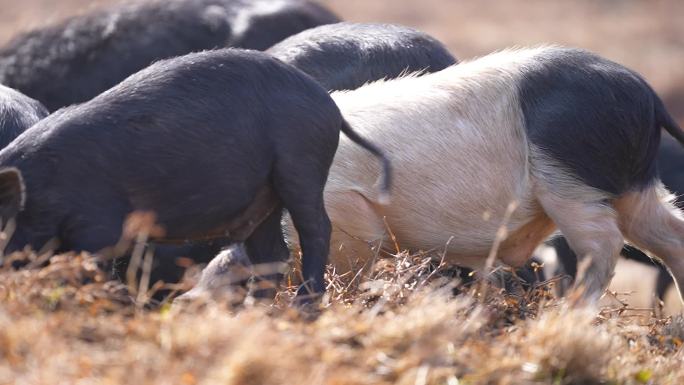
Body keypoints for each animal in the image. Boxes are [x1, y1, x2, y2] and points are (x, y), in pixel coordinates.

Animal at [0, 48, 390, 296]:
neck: (39, 191)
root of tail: (329, 104)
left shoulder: (98, 227)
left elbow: (92, 267)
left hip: (300, 164)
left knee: (316, 229)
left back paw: (304, 306)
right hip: (265, 197)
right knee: (272, 252)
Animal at [300, 45, 684, 304]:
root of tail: (647, 95)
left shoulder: (346, 212)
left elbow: (347, 265)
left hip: (569, 180)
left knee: (601, 245)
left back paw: (567, 318)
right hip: (633, 185)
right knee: (671, 234)